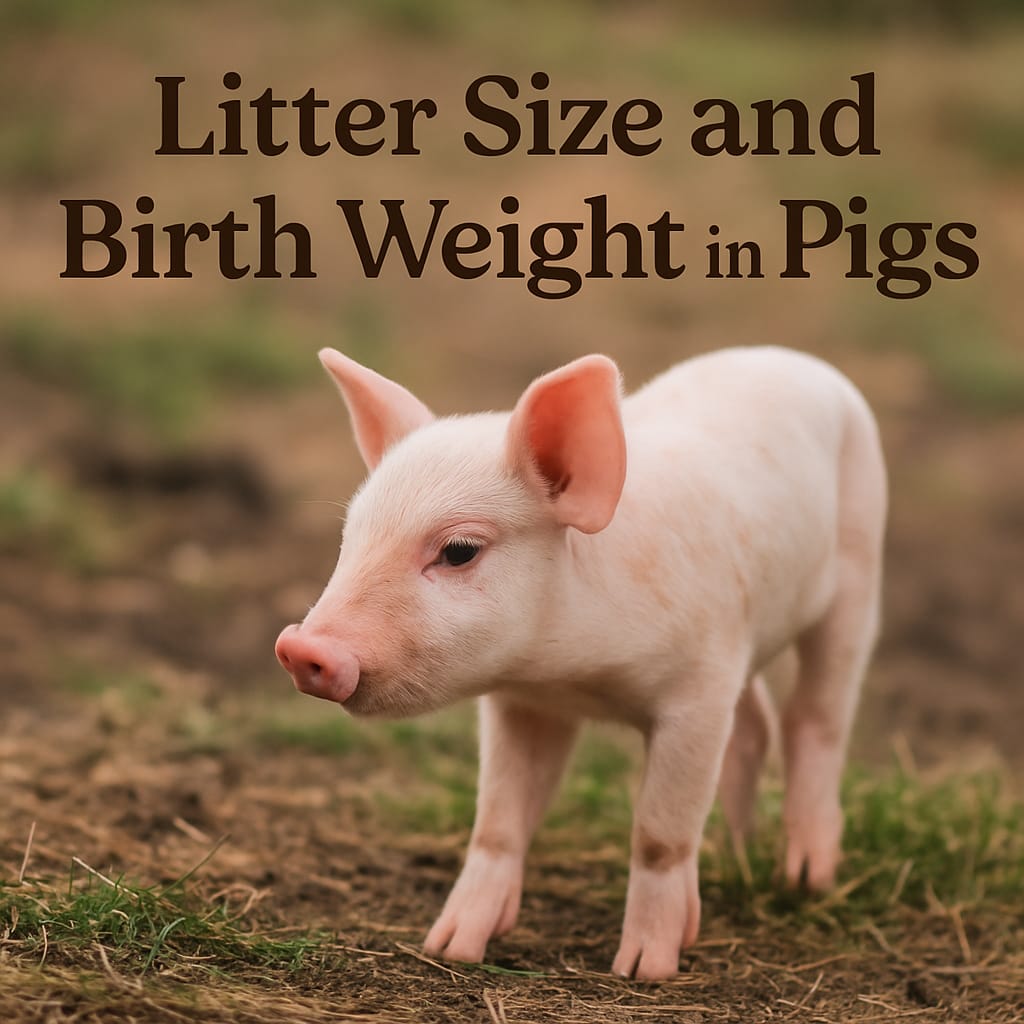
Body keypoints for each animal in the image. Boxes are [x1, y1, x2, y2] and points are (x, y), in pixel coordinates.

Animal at [275, 345, 886, 980]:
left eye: (460, 551)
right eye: (350, 537)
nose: (300, 647)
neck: (574, 675)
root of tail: (793, 358)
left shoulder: (698, 689)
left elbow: (659, 833)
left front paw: (643, 970)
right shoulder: (524, 703)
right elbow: (496, 823)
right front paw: (448, 947)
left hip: (859, 568)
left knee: (814, 721)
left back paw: (805, 879)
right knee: (754, 730)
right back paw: (733, 857)